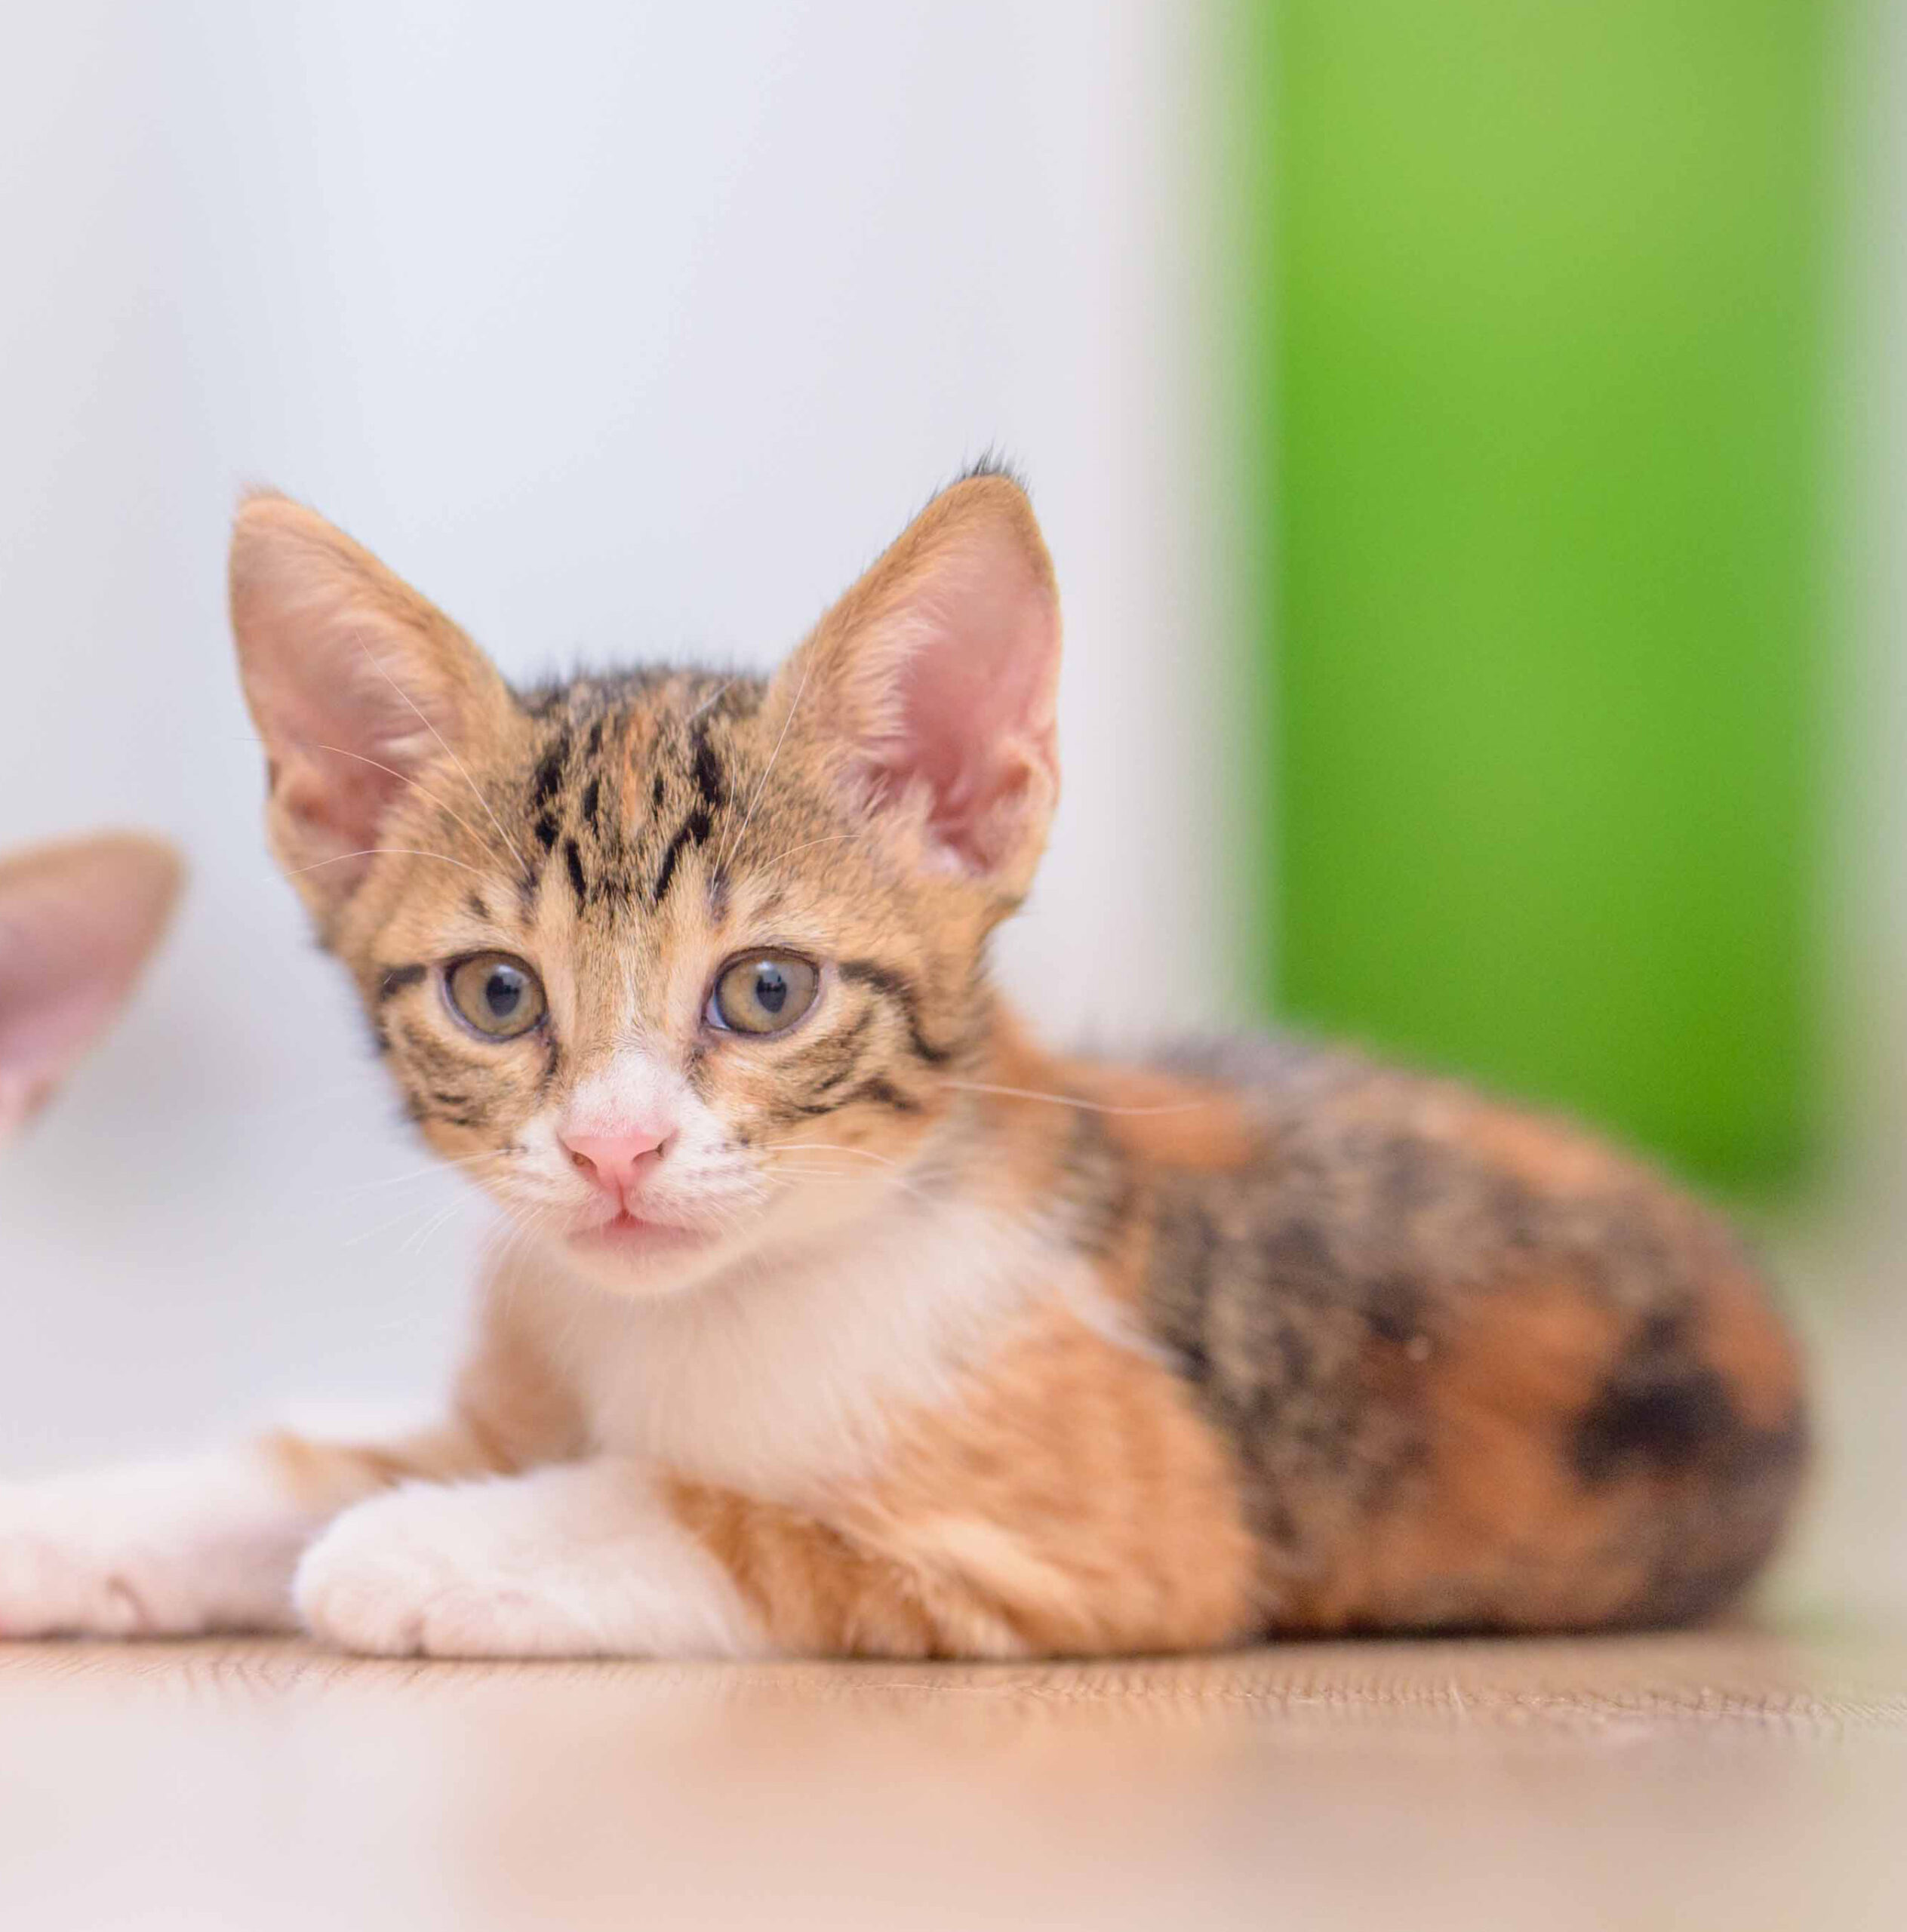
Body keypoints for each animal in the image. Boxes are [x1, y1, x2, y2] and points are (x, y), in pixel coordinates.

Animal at [0, 475, 1808, 1654]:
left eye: (767, 991)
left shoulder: (1124, 1531)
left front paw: (423, 1543)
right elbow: (302, 1455)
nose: (612, 1151)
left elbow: (710, 1512)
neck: (690, 1315)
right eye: (498, 995)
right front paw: (78, 1521)